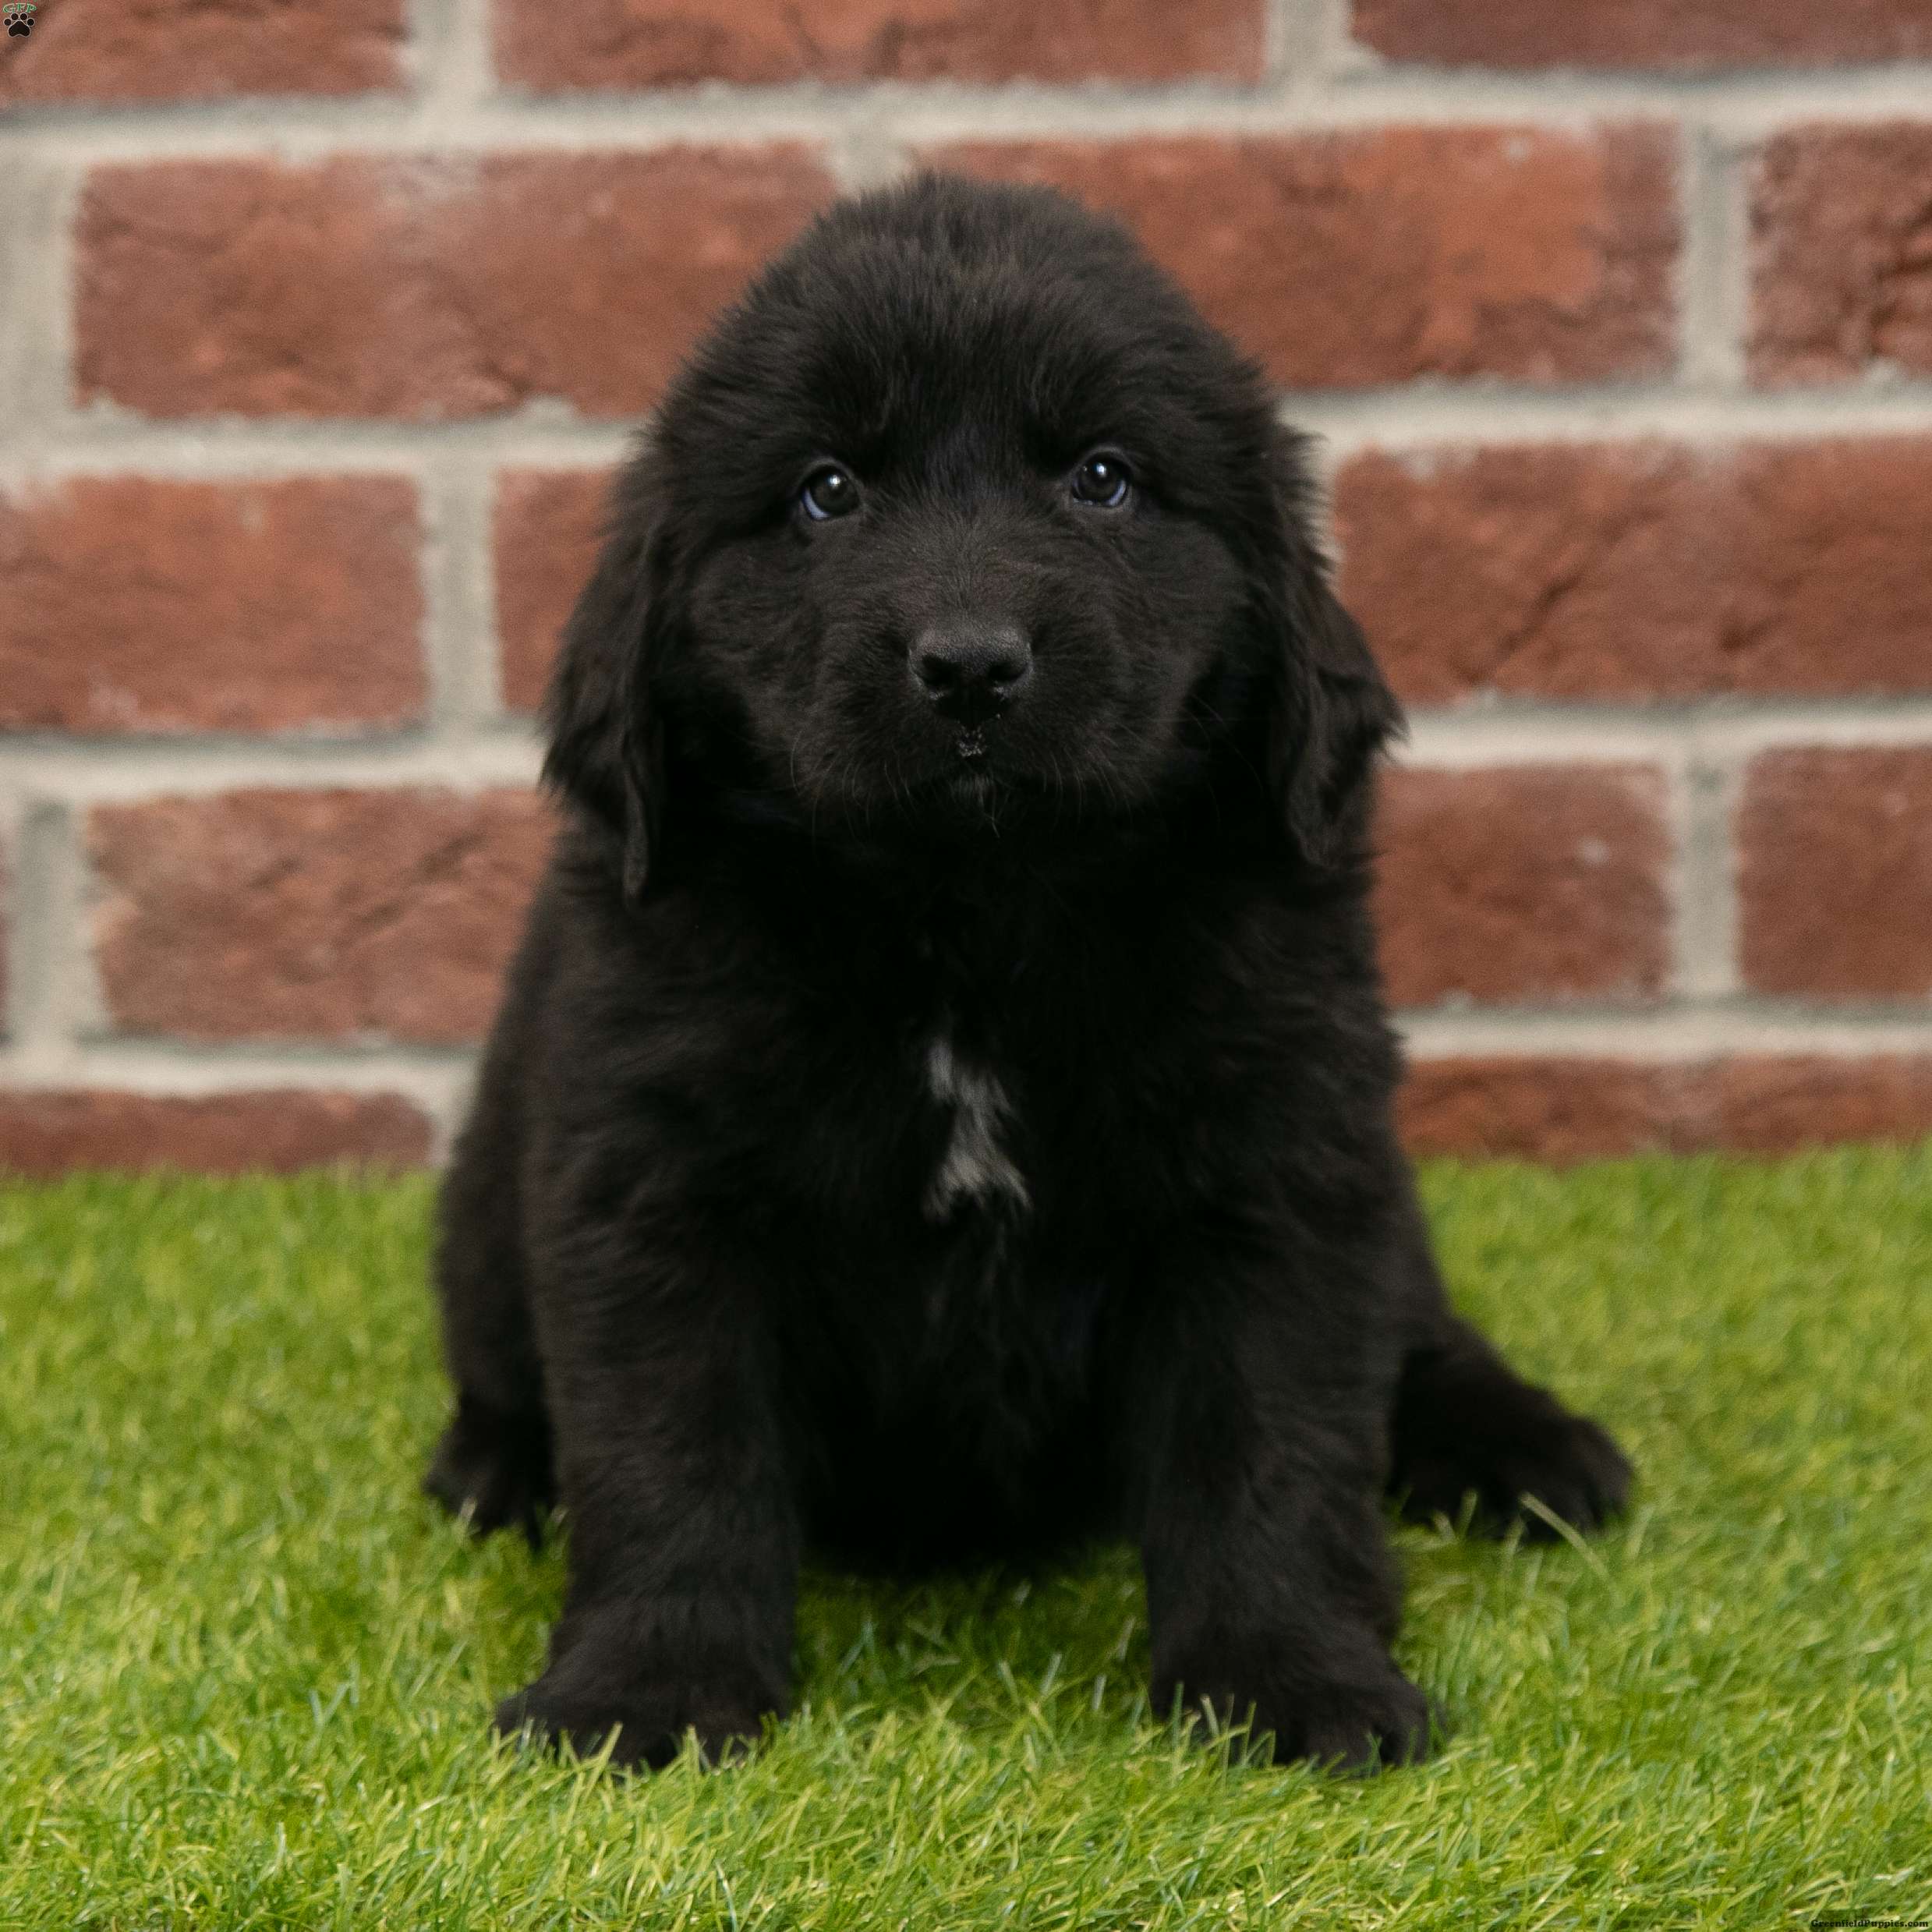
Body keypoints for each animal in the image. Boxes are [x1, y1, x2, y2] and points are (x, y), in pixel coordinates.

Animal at [425, 171, 1632, 1773]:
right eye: (824, 492)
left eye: (1103, 480)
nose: (971, 665)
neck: (970, 925)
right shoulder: (648, 1185)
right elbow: (669, 1453)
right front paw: (645, 1689)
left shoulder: (1277, 1170)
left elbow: (1274, 1445)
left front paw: (1287, 1679)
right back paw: (494, 1467)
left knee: (1418, 1329)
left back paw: (1525, 1448)